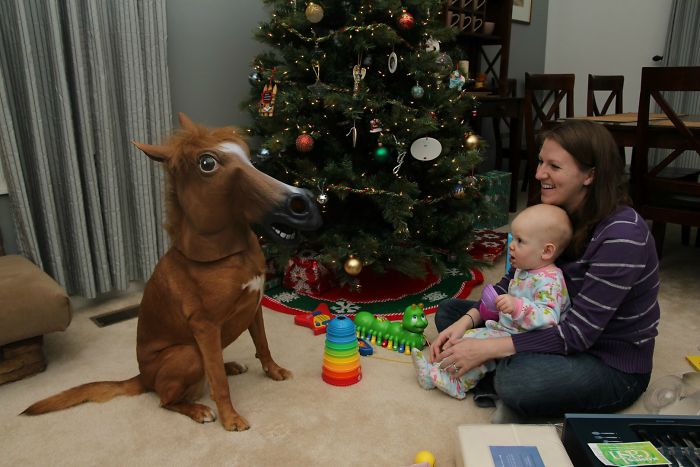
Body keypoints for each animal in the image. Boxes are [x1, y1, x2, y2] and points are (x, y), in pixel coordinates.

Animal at [22, 113, 322, 432]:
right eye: (207, 163)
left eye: (247, 154)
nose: (304, 202)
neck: (229, 255)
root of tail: (143, 377)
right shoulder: (205, 328)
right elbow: (218, 382)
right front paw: (230, 418)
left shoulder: (254, 308)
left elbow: (262, 345)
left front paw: (274, 371)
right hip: (187, 353)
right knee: (168, 398)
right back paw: (198, 409)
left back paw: (229, 365)